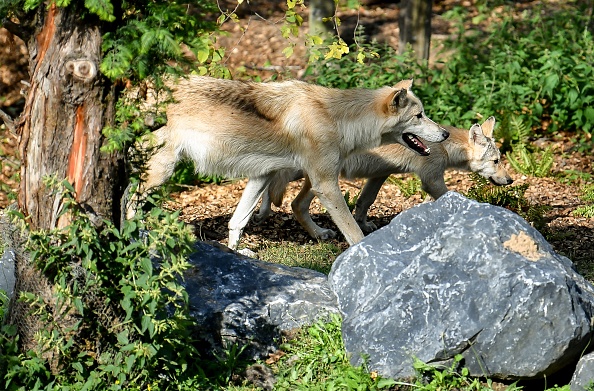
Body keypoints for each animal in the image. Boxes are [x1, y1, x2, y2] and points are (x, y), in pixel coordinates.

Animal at [126, 75, 448, 250]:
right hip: (160, 172)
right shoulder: (326, 184)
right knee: (129, 205)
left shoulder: (263, 175)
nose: (445, 133)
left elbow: (238, 221)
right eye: (419, 116)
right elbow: (354, 233)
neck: (337, 118)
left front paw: (236, 255)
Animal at [253, 116, 508, 239]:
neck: (443, 147)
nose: (510, 180)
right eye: (496, 161)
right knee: (288, 198)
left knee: (285, 197)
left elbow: (364, 202)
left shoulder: (379, 176)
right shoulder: (432, 180)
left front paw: (364, 225)